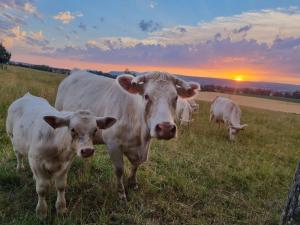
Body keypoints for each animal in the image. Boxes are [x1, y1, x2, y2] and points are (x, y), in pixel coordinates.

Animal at [54, 71, 199, 200]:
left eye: (176, 97)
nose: (166, 128)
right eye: (146, 96)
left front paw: (133, 183)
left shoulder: (142, 150)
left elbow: (136, 165)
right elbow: (119, 170)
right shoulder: (113, 144)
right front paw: (121, 193)